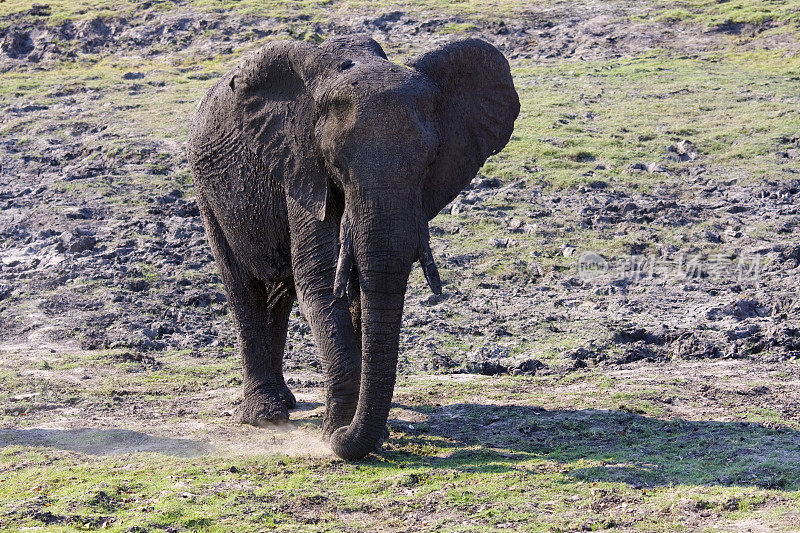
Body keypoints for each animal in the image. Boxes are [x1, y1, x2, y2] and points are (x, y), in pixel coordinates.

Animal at [187, 35, 520, 458]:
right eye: (336, 163)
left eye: (429, 162)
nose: (343, 436)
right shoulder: (302, 164)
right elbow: (320, 282)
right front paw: (335, 435)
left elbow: (357, 285)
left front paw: (363, 435)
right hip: (207, 191)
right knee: (242, 286)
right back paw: (266, 415)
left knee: (279, 292)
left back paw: (285, 404)